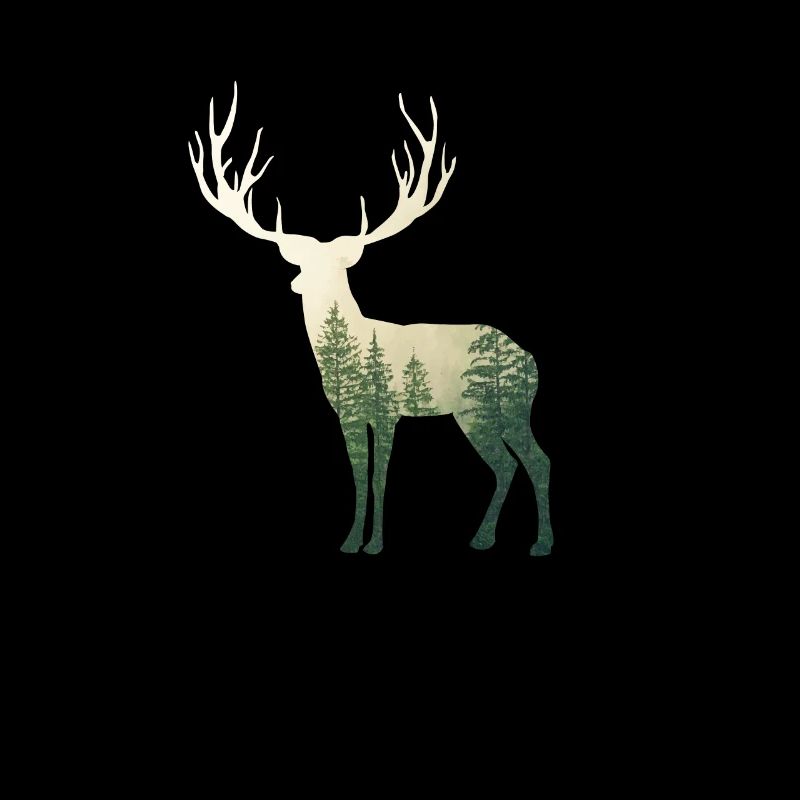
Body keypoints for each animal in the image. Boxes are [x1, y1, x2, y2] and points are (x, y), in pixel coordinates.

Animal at [188, 83, 553, 556]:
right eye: (303, 264)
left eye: (336, 267)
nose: (299, 285)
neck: (357, 350)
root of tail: (530, 359)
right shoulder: (345, 413)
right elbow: (359, 476)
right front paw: (348, 541)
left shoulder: (388, 407)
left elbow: (381, 477)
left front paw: (376, 544)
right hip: (471, 412)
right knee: (503, 465)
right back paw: (482, 538)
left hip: (508, 403)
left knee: (536, 459)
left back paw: (539, 544)